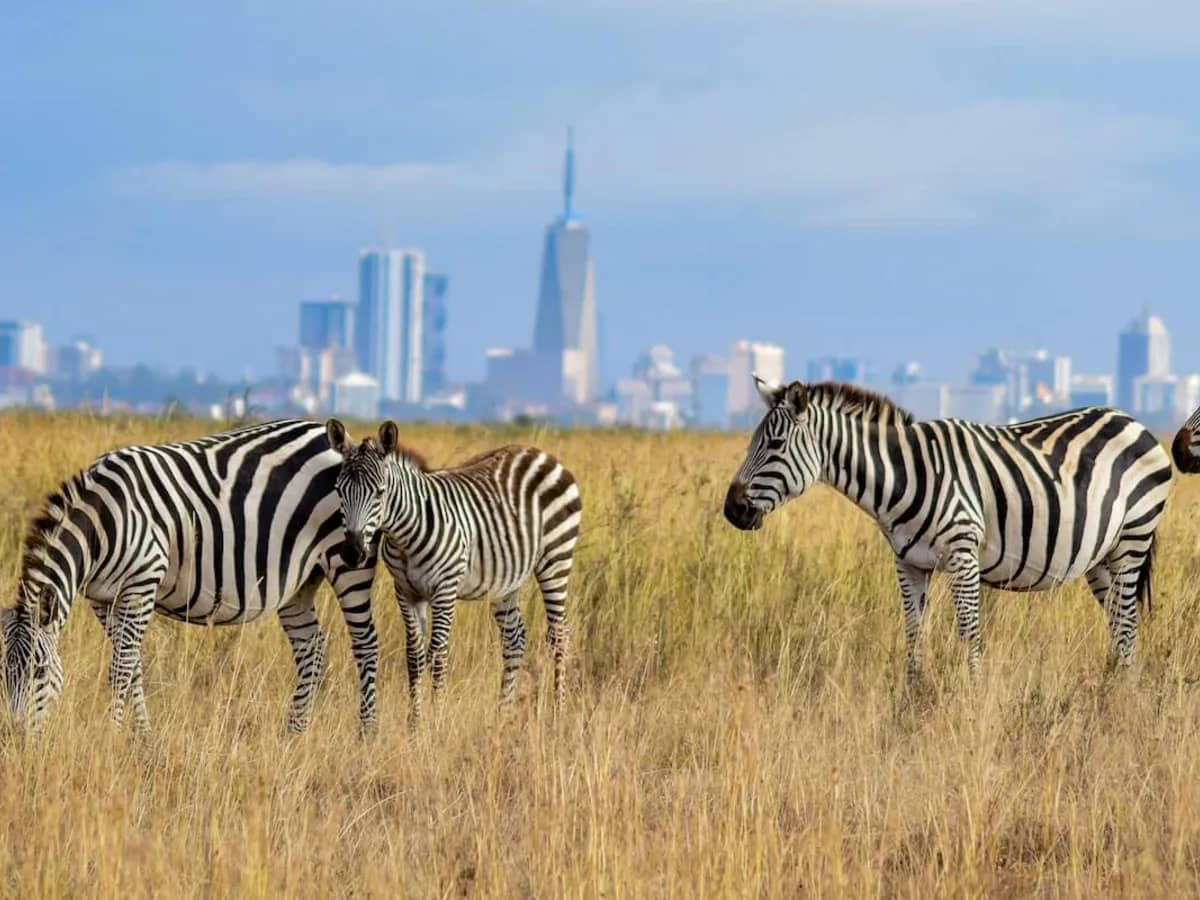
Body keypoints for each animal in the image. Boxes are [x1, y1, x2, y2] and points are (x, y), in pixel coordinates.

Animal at [2, 419, 380, 734]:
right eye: (0, 670)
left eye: (39, 670)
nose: (15, 736)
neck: (102, 524)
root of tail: (330, 434)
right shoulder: (102, 599)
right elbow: (134, 667)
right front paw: (142, 737)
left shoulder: (142, 583)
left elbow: (121, 667)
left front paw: (112, 734)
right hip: (297, 581)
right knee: (311, 648)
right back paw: (293, 735)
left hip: (349, 560)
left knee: (366, 644)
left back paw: (367, 735)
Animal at [325, 419, 582, 722]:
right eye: (339, 490)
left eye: (380, 492)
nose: (352, 553)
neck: (405, 535)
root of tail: (540, 453)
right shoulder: (406, 591)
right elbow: (414, 656)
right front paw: (415, 722)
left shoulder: (444, 589)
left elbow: (438, 655)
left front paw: (435, 720)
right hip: (506, 578)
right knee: (514, 639)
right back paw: (503, 714)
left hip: (556, 558)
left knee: (559, 635)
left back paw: (558, 712)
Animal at [723, 378, 1173, 677]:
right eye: (751, 442)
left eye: (775, 445)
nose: (731, 510)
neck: (904, 476)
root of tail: (1133, 421)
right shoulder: (909, 563)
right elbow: (913, 634)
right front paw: (911, 702)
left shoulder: (963, 555)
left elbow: (969, 634)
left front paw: (970, 702)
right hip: (1101, 557)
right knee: (1119, 625)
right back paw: (1113, 689)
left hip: (1133, 539)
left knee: (1127, 624)